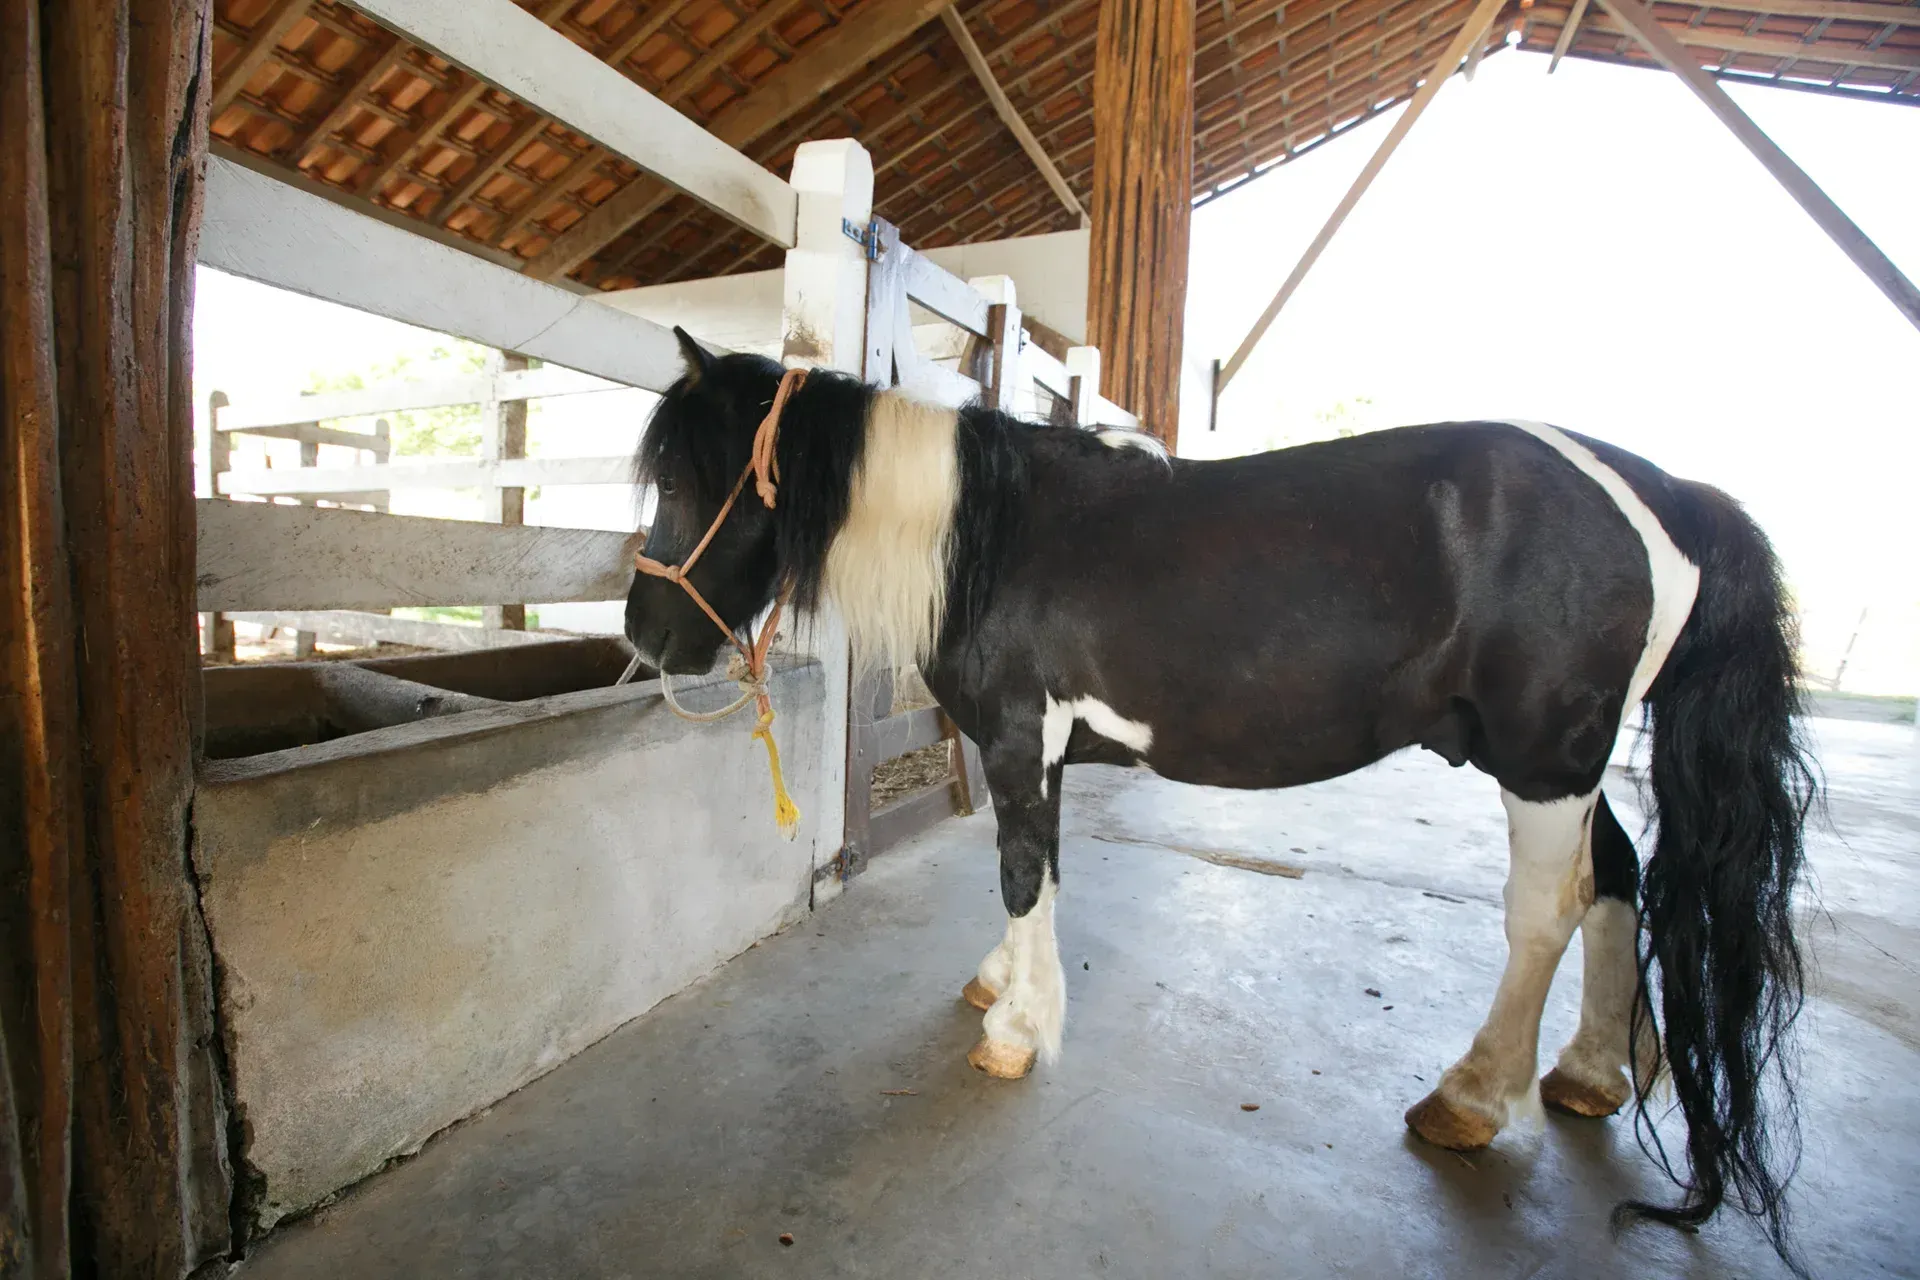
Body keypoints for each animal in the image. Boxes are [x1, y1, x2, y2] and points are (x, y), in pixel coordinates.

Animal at [624, 328, 1815, 1271]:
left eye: (680, 483)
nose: (645, 635)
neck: (985, 539)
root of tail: (1660, 491)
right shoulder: (1041, 754)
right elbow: (1034, 870)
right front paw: (999, 982)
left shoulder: (1018, 736)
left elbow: (1021, 867)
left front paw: (1016, 1028)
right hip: (1568, 762)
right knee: (1615, 879)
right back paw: (1589, 1070)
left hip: (1543, 759)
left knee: (1544, 913)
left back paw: (1471, 1097)